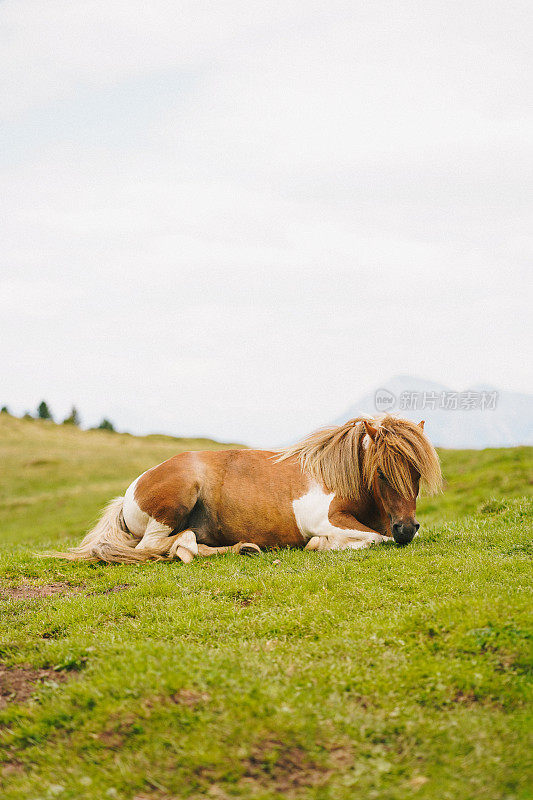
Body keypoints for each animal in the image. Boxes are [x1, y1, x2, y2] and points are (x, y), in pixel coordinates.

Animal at [52, 416, 442, 564]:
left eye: (417, 473)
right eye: (381, 473)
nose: (406, 528)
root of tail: (130, 492)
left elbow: (378, 535)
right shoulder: (326, 520)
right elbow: (374, 538)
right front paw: (319, 545)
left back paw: (243, 547)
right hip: (175, 501)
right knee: (155, 546)